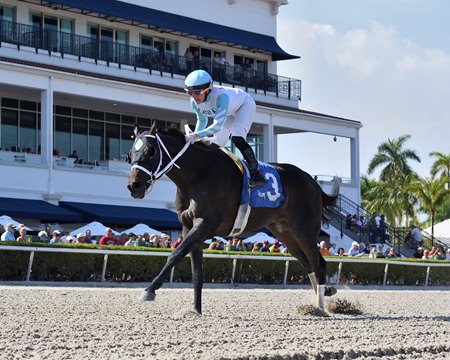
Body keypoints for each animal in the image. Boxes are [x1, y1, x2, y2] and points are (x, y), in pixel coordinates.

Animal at [125, 124, 338, 312]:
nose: (134, 186)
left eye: (150, 151)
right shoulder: (189, 227)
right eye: (130, 154)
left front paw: (149, 289)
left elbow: (175, 254)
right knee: (308, 265)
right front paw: (196, 310)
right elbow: (196, 273)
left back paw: (321, 308)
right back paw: (319, 302)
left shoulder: (204, 224)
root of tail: (312, 182)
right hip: (285, 233)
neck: (198, 174)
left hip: (305, 230)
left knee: (318, 264)